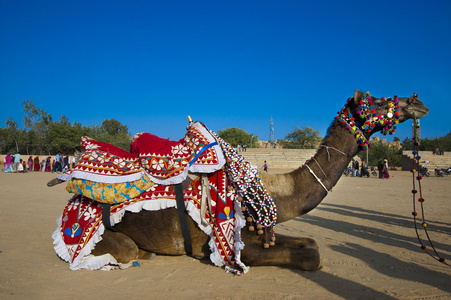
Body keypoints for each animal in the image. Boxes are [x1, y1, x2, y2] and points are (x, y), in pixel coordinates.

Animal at [51, 89, 430, 274]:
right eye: (376, 100)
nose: (418, 102)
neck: (274, 190)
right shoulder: (229, 244)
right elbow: (312, 257)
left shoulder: (264, 231)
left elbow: (311, 242)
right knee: (126, 249)